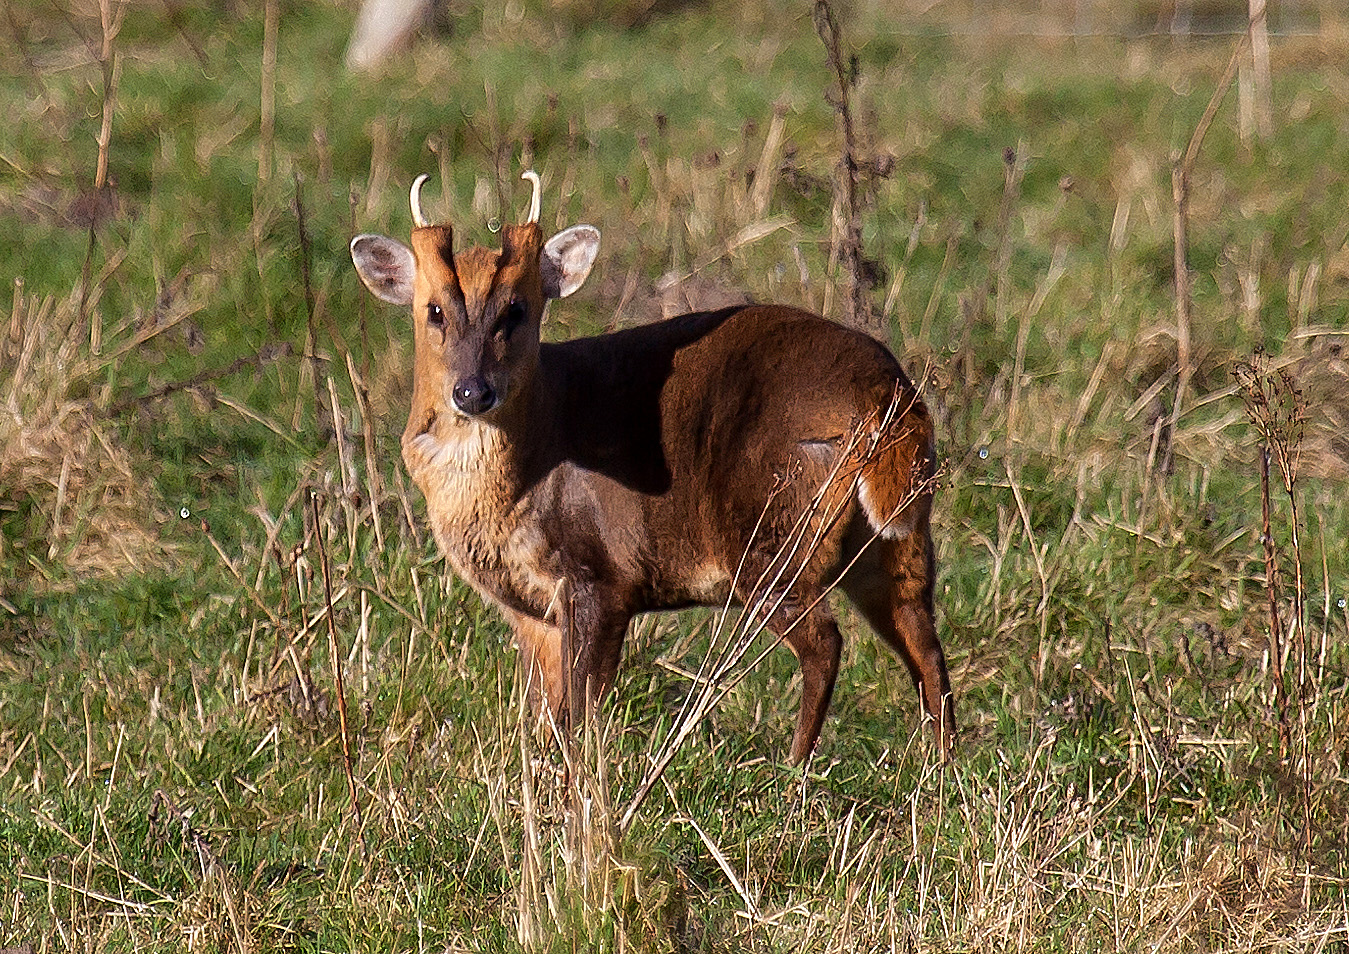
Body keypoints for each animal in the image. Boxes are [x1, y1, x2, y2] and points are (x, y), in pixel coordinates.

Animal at [353, 174, 955, 766]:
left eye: (517, 310)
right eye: (433, 310)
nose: (473, 391)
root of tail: (884, 396)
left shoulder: (599, 576)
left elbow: (578, 710)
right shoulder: (532, 611)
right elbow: (546, 714)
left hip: (769, 530)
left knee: (826, 641)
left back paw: (794, 768)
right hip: (896, 537)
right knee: (923, 641)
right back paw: (941, 767)